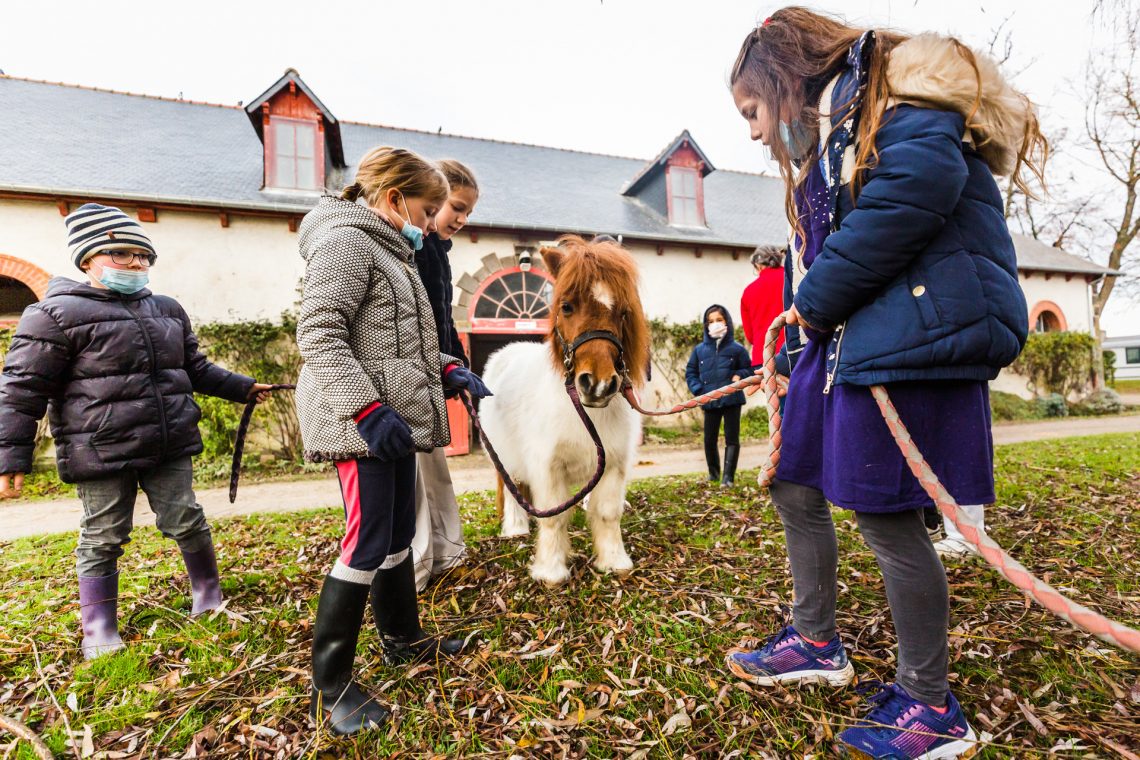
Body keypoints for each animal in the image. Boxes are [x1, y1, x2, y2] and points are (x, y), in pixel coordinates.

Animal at [474, 238, 652, 587]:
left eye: (624, 312)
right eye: (567, 306)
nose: (598, 384)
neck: (582, 411)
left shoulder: (613, 464)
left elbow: (608, 513)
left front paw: (614, 562)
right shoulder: (547, 466)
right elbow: (554, 518)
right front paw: (551, 572)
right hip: (503, 454)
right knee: (512, 487)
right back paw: (515, 528)